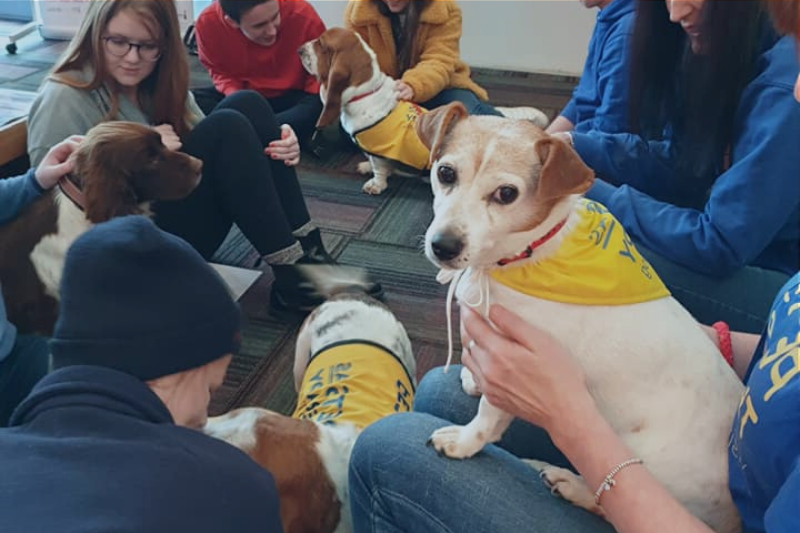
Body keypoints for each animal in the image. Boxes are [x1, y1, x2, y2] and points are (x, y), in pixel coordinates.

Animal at [300, 26, 552, 195]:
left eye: (321, 44)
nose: (299, 48)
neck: (366, 92)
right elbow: (374, 162)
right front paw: (365, 167)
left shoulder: (380, 150)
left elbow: (379, 168)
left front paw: (376, 184)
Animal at [418, 102, 744, 528]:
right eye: (445, 173)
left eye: (506, 194)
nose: (443, 246)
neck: (521, 258)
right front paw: (475, 376)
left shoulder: (517, 358)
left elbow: (489, 416)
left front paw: (464, 441)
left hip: (649, 464)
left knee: (610, 498)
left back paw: (571, 483)